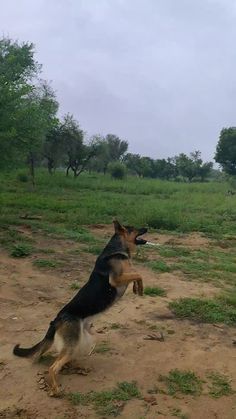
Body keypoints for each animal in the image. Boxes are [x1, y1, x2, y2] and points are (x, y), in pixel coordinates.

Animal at [13, 221, 148, 396]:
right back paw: (55, 389)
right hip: (73, 343)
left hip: (82, 340)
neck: (117, 249)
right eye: (133, 229)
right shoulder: (116, 279)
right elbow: (138, 274)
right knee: (53, 367)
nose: (147, 228)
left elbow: (136, 274)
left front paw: (137, 289)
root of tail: (56, 320)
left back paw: (77, 368)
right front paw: (140, 288)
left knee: (61, 360)